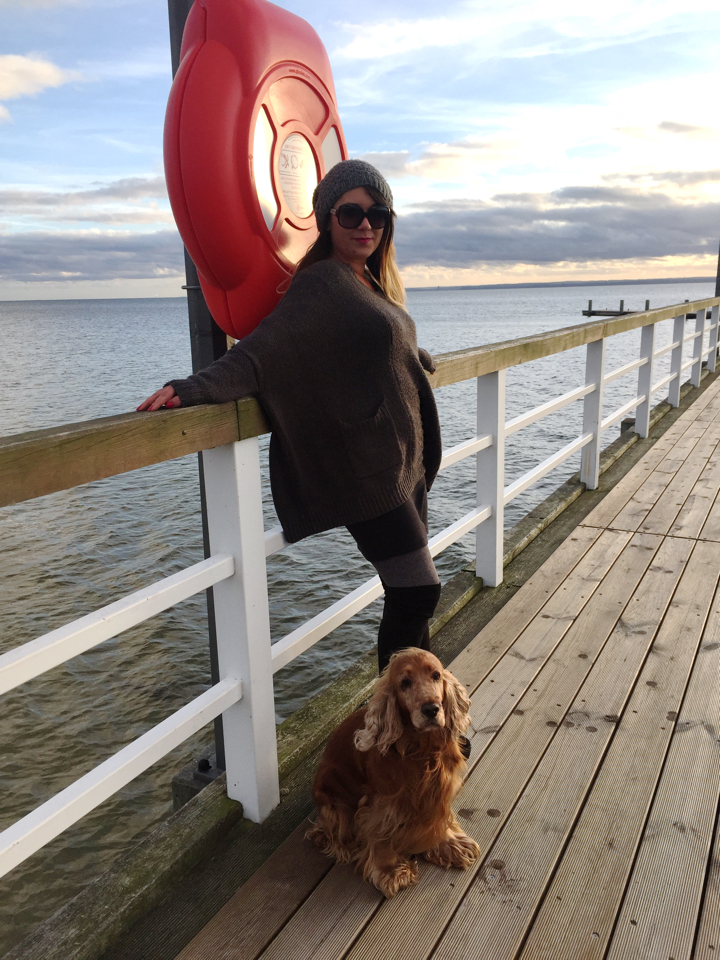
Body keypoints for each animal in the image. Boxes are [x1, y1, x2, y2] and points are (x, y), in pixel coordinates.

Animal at [306, 648, 480, 897]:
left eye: (436, 675)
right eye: (405, 683)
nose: (431, 709)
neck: (421, 747)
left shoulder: (439, 788)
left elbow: (439, 819)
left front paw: (449, 844)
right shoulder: (385, 803)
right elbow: (381, 835)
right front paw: (390, 871)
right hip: (336, 803)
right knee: (325, 831)